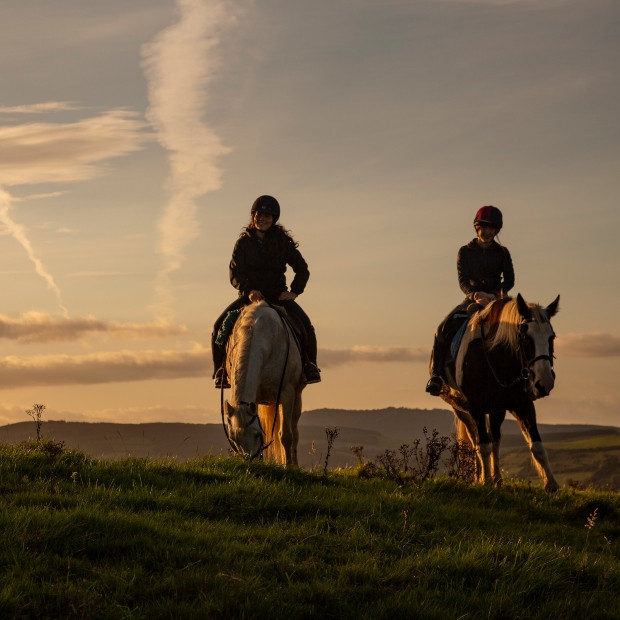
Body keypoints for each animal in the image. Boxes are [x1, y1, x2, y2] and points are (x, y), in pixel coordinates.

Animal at [220, 300, 306, 464]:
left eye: (256, 434)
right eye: (233, 439)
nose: (250, 462)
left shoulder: (287, 394)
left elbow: (286, 435)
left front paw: (289, 467)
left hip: (297, 397)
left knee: (295, 432)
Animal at [440, 294, 560, 492]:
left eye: (552, 337)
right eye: (525, 337)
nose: (545, 382)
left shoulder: (523, 405)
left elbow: (537, 445)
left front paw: (551, 484)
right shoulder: (476, 407)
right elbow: (483, 445)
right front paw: (485, 482)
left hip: (497, 410)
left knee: (495, 439)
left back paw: (497, 479)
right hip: (461, 409)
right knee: (476, 440)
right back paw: (480, 477)